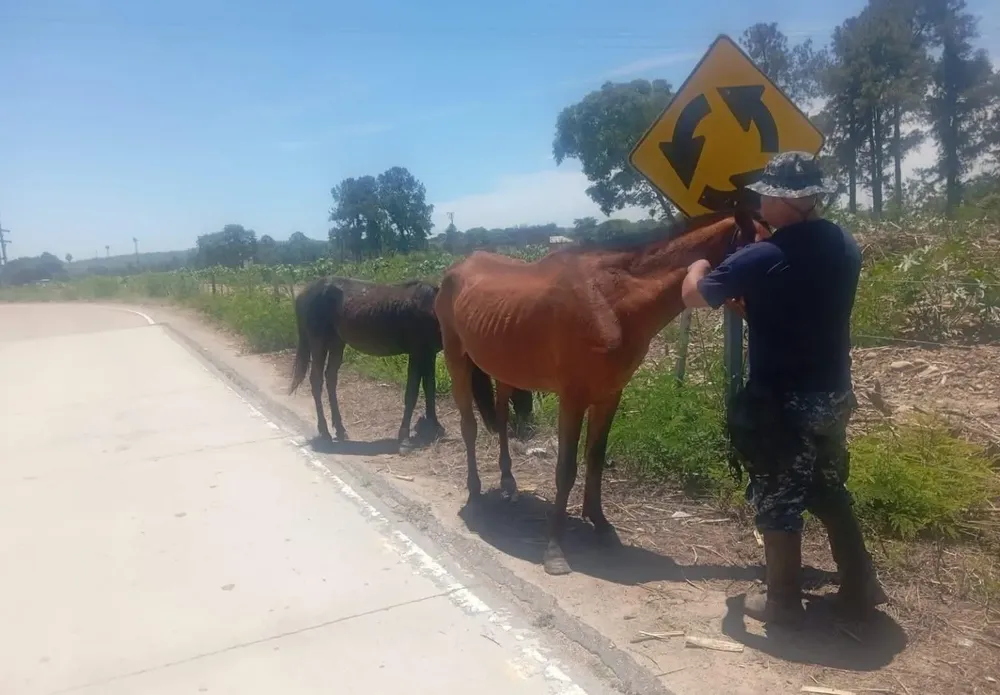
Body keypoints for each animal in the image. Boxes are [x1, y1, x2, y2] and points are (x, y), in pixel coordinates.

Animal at [290, 275, 534, 450]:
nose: (528, 418)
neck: (435, 310)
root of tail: (302, 294)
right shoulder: (417, 353)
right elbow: (412, 393)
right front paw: (405, 437)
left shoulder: (428, 354)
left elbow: (429, 389)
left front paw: (435, 426)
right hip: (319, 343)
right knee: (316, 381)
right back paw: (325, 432)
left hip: (337, 344)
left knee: (330, 379)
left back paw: (340, 430)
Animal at [434, 210, 769, 575]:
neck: (610, 301)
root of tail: (455, 270)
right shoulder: (573, 398)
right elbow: (565, 469)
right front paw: (555, 548)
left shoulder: (609, 396)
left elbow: (595, 458)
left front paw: (600, 523)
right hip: (456, 360)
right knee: (469, 427)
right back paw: (475, 492)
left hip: (505, 366)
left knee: (502, 416)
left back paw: (508, 481)